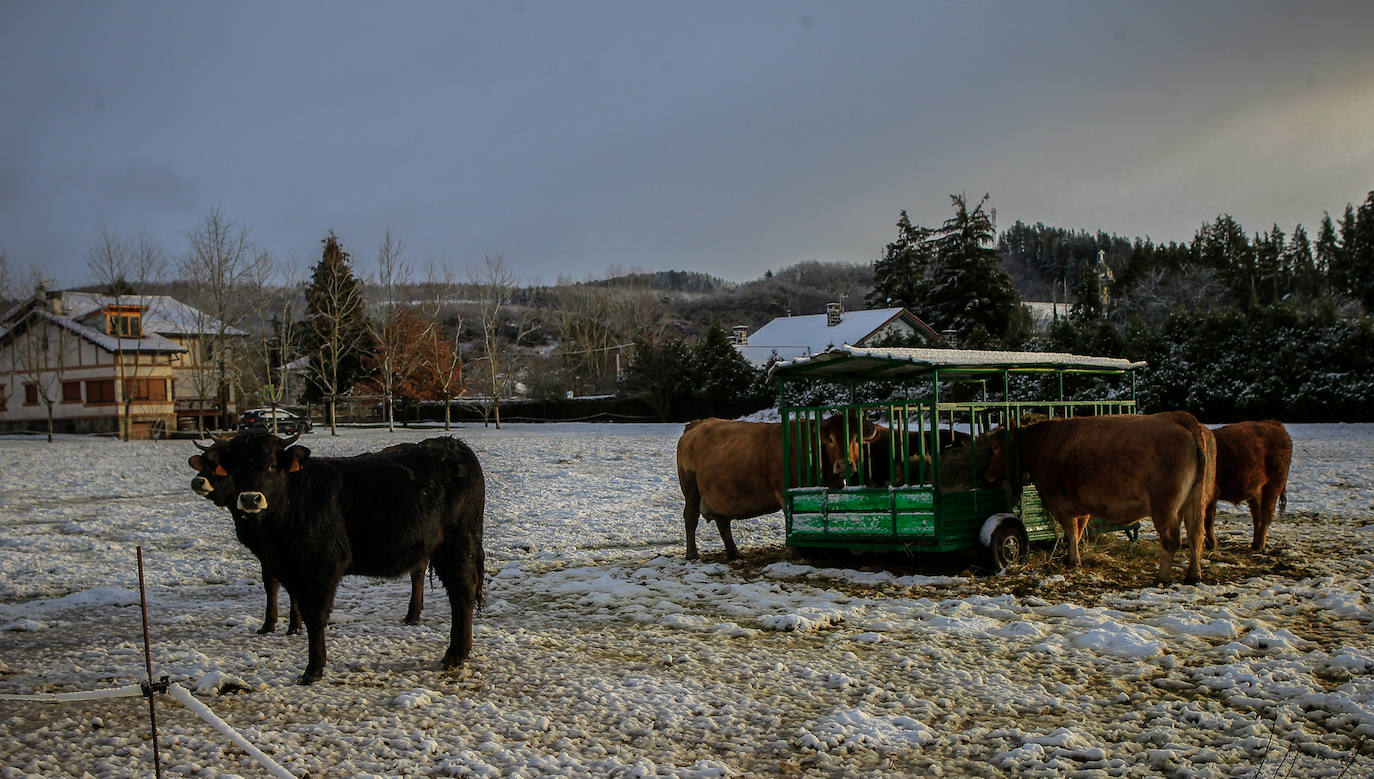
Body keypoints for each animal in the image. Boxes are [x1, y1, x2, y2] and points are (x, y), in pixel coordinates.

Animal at [185, 442, 425, 637]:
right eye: (203, 465)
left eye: (218, 470)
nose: (197, 481)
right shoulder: (269, 555)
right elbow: (272, 584)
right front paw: (269, 625)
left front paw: (293, 625)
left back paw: (412, 614)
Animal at [676, 414, 879, 560]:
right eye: (830, 439)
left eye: (856, 439)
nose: (844, 465)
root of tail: (696, 425)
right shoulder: (785, 494)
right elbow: (791, 520)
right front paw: (798, 553)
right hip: (691, 486)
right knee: (691, 517)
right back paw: (692, 554)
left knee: (723, 521)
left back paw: (734, 552)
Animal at [989, 414, 1214, 585]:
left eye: (994, 447)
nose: (987, 476)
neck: (1040, 443)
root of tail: (1178, 417)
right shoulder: (1081, 506)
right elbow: (1078, 531)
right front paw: (1072, 556)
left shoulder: (1058, 501)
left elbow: (1071, 531)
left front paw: (1073, 560)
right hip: (1195, 500)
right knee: (1196, 535)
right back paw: (1193, 575)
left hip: (1164, 506)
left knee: (1172, 539)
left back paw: (1162, 578)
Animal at [1209, 420, 1291, 555]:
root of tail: (1275, 423)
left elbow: (1207, 520)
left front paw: (1212, 545)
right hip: (1256, 491)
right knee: (1257, 516)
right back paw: (1255, 544)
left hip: (1273, 486)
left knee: (1266, 515)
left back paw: (1259, 547)